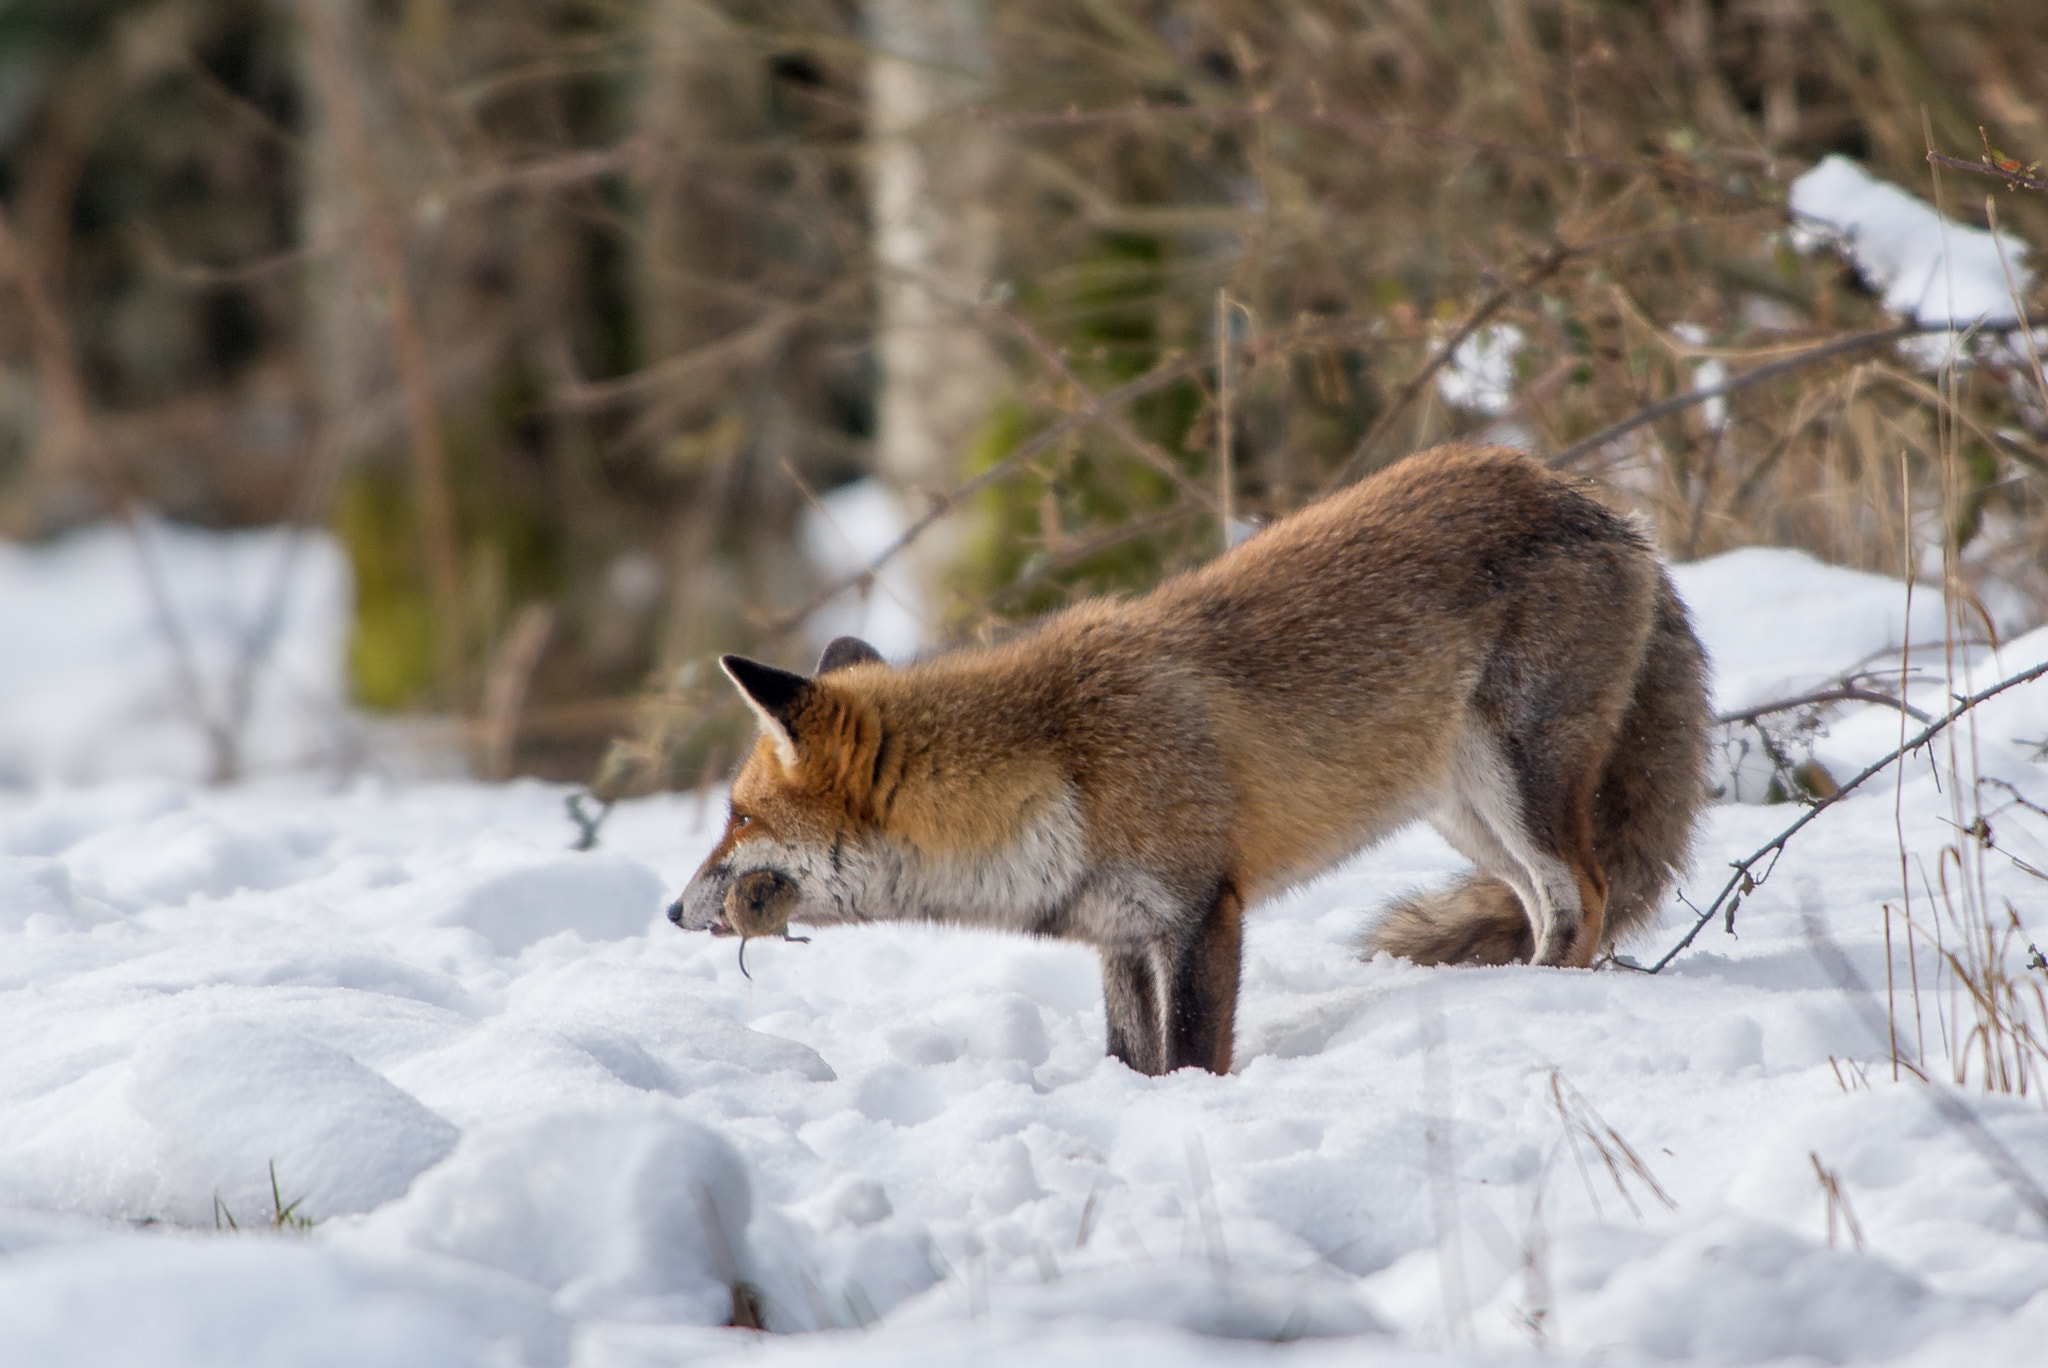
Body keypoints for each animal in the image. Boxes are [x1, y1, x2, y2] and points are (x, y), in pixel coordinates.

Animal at [671, 444, 1711, 1076]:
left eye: (739, 818)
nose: (673, 912)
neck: (1058, 769)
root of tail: (1598, 506)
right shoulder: (1121, 936)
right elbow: (1132, 1059)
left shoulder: (1202, 911)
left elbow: (1192, 1056)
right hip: (1463, 810)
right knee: (1543, 898)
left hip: (1517, 783)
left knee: (1584, 892)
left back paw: (1550, 1000)